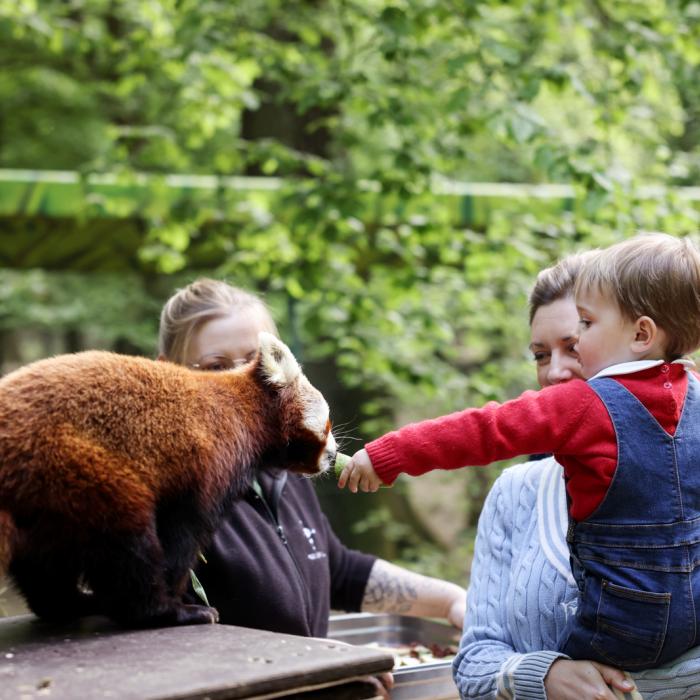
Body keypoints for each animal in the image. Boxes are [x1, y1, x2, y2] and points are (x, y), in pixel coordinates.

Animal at [0, 334, 336, 628]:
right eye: (329, 424)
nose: (334, 454)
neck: (246, 411)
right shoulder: (208, 465)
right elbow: (184, 533)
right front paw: (176, 588)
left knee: (46, 568)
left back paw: (72, 604)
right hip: (80, 470)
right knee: (127, 545)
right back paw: (166, 611)